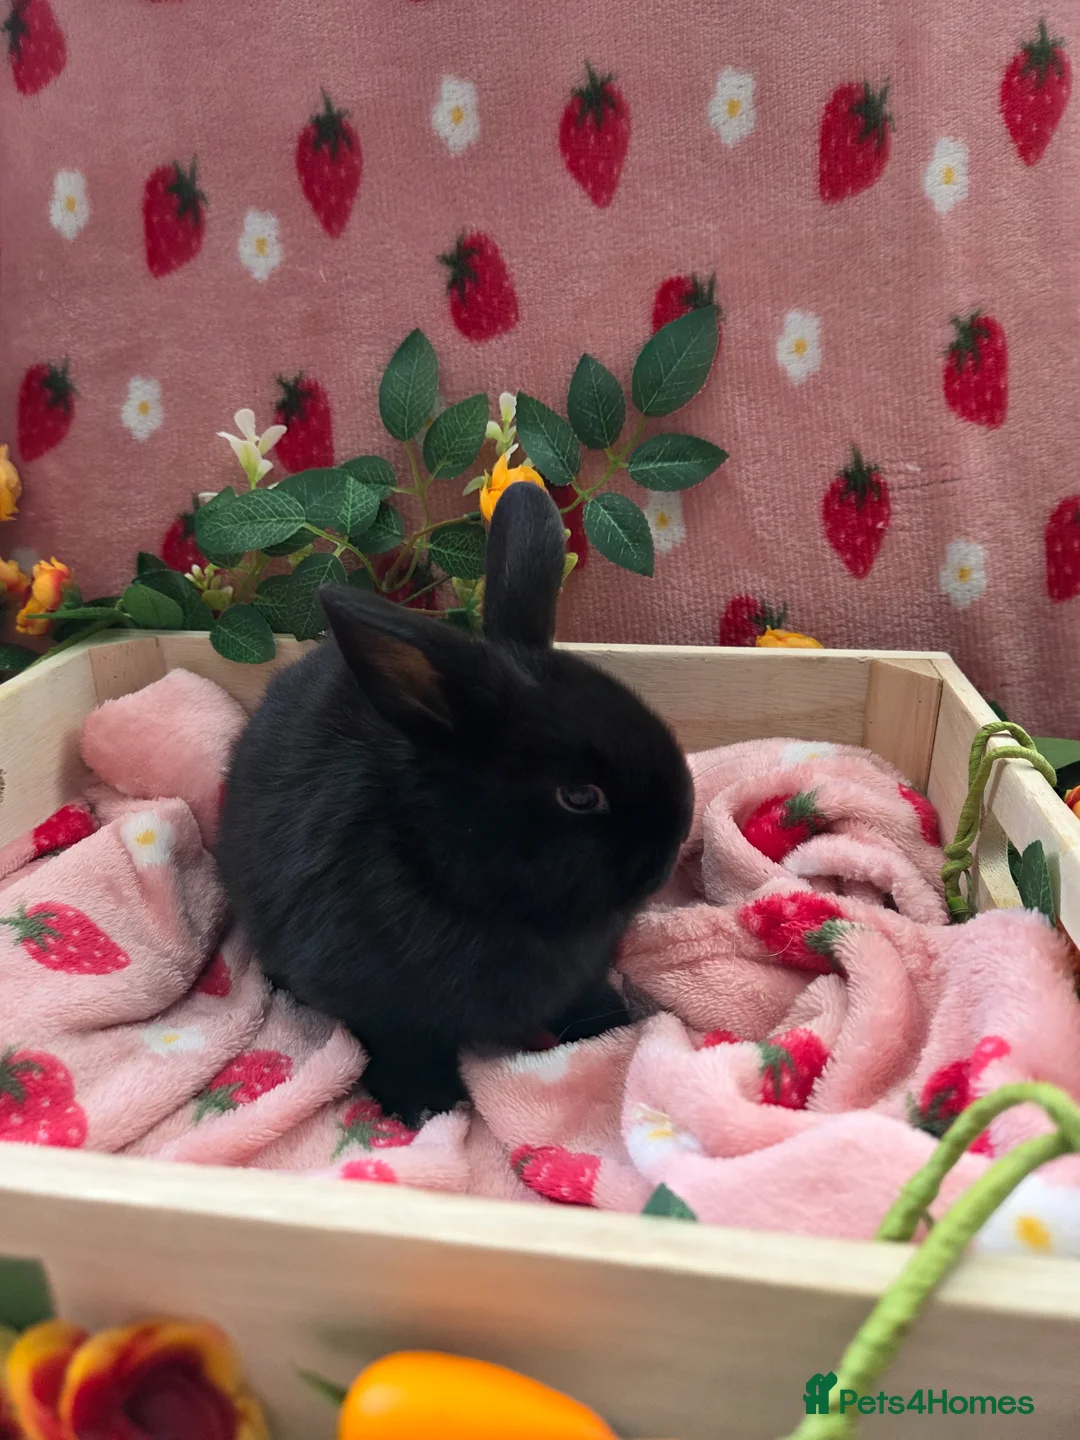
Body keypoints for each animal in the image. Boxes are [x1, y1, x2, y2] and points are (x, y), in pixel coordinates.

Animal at [216, 481, 693, 1126]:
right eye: (579, 795)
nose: (675, 841)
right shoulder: (384, 1012)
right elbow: (401, 1048)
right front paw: (426, 1107)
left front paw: (609, 1027)